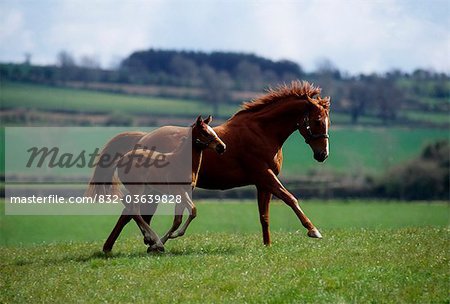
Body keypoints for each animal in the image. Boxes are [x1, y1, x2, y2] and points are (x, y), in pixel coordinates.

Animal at [86, 79, 328, 251]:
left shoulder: (263, 183)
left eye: (328, 121)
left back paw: (140, 244)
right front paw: (313, 230)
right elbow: (290, 198)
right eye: (317, 121)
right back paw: (128, 245)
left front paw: (267, 244)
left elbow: (264, 215)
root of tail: (142, 139)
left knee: (135, 214)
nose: (323, 154)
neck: (261, 131)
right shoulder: (265, 176)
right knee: (131, 213)